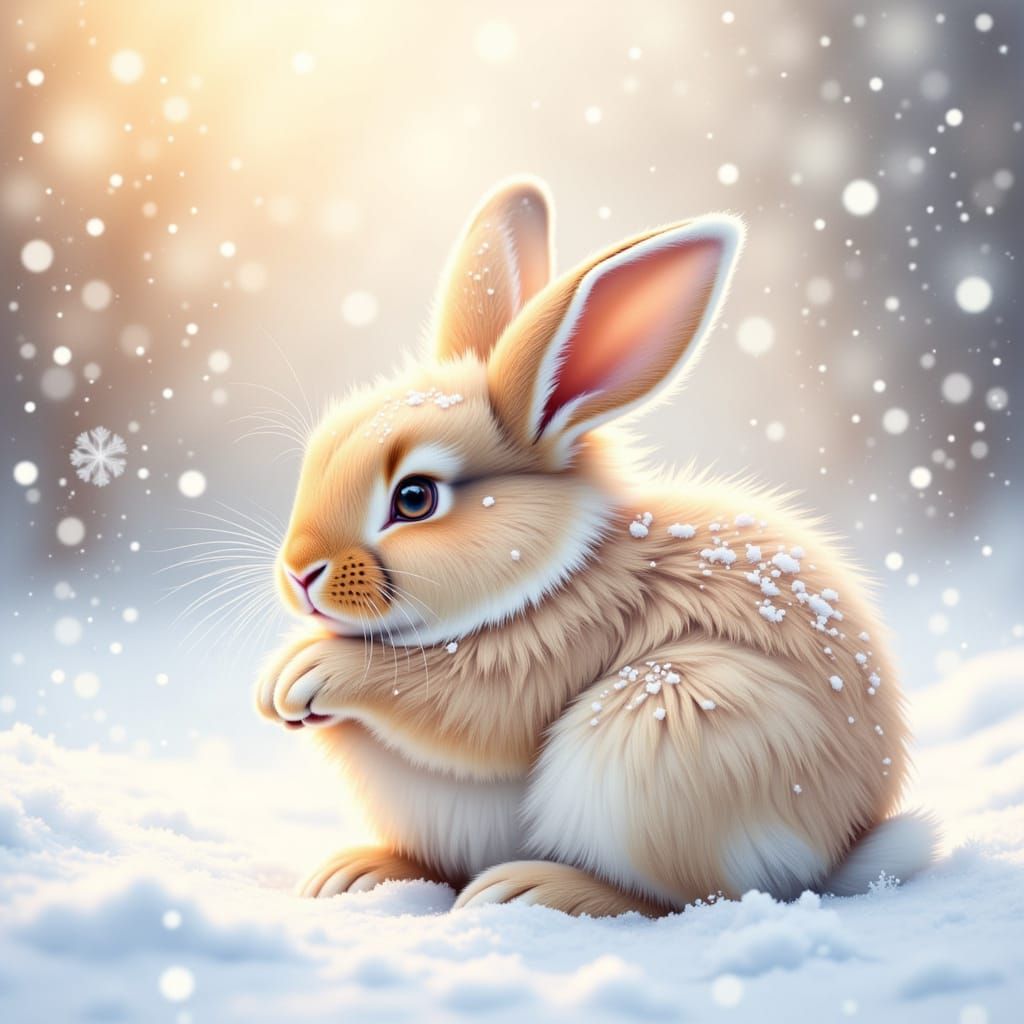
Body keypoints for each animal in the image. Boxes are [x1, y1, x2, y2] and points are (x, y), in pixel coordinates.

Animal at [256, 177, 938, 916]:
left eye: (415, 498)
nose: (299, 574)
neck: (554, 569)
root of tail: (841, 848)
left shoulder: (564, 639)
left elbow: (464, 714)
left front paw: (303, 674)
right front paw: (274, 690)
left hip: (666, 729)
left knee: (681, 897)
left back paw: (529, 889)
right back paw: (355, 873)